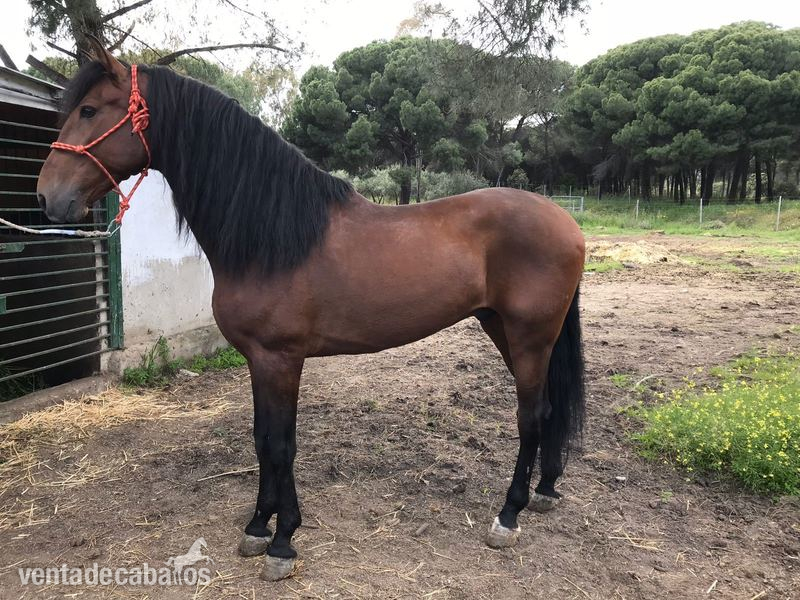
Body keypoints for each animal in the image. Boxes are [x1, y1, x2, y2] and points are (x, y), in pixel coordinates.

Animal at [36, 41, 585, 582]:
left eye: (89, 110)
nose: (46, 196)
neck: (272, 238)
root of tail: (566, 221)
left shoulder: (281, 358)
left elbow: (281, 445)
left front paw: (283, 541)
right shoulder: (258, 360)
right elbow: (261, 439)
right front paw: (258, 526)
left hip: (530, 336)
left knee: (532, 415)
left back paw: (508, 516)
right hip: (503, 329)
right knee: (549, 409)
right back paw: (545, 492)